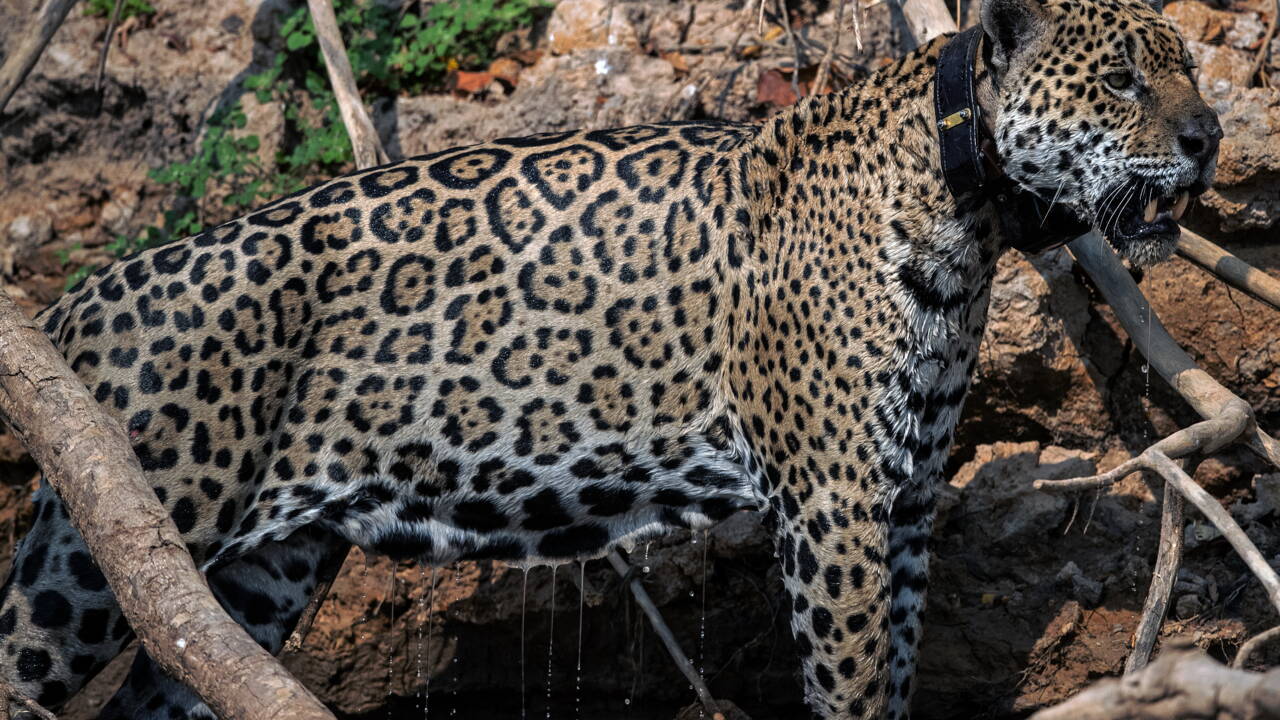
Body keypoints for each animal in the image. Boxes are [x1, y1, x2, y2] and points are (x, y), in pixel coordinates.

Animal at [0, 0, 1219, 716]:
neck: (966, 209)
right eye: (1119, 81)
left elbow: (900, 671)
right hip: (122, 537)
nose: (1208, 138)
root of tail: (88, 290)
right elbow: (850, 681)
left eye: (1193, 72)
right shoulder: (835, 504)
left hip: (259, 573)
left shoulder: (906, 500)